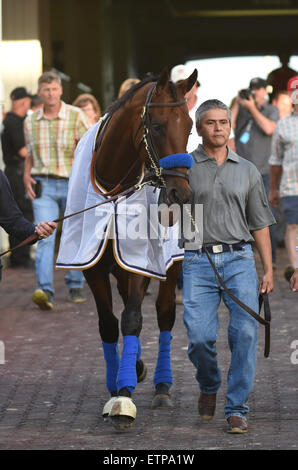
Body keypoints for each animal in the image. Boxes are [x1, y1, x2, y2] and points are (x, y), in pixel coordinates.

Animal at [58, 67, 198, 430]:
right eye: (158, 125)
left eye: (190, 125)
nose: (180, 194)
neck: (112, 185)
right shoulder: (93, 266)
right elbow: (108, 324)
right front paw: (117, 382)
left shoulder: (139, 262)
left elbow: (132, 320)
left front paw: (123, 397)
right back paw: (136, 367)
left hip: (169, 266)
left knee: (164, 315)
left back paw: (161, 385)